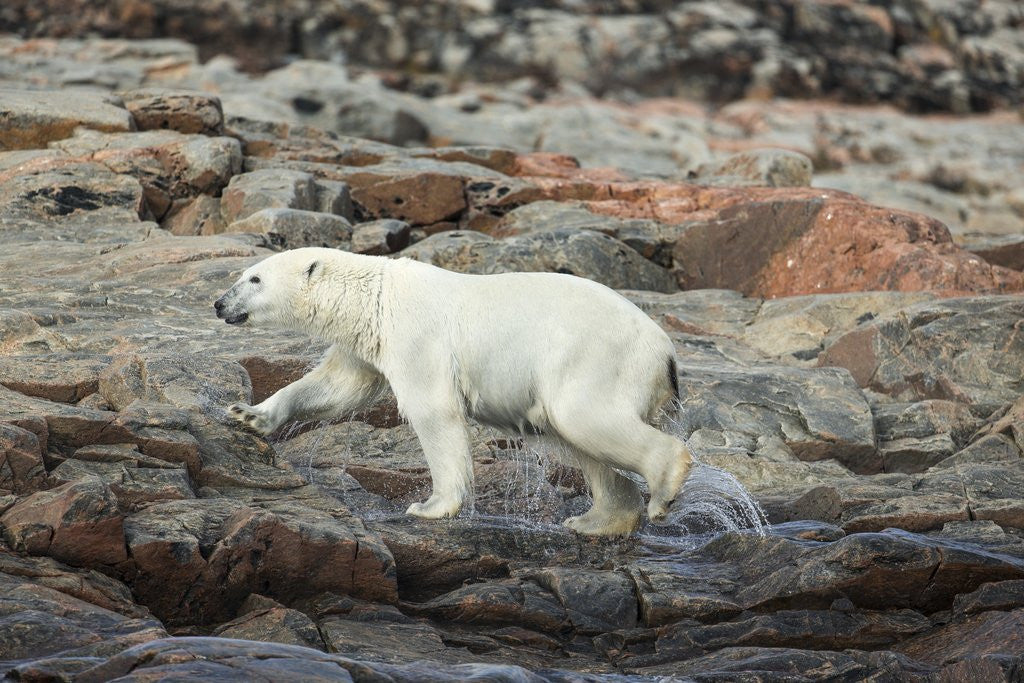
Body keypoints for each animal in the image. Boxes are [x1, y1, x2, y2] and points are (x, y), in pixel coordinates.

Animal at [214, 247, 692, 537]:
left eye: (254, 279)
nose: (219, 303)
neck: (375, 296)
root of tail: (665, 353)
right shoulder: (370, 342)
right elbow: (337, 387)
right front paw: (248, 414)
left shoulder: (416, 336)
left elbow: (433, 411)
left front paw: (431, 506)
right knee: (579, 439)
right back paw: (596, 520)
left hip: (594, 357)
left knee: (583, 417)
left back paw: (662, 491)